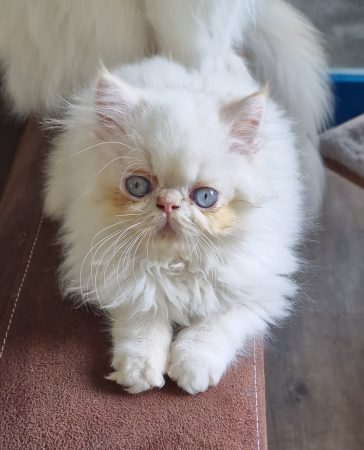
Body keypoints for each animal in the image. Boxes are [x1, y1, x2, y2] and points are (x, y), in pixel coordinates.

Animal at [44, 57, 302, 394]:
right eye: (137, 186)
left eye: (205, 197)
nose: (168, 204)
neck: (174, 264)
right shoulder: (123, 280)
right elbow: (143, 320)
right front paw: (139, 372)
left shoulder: (257, 292)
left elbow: (214, 325)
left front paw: (192, 370)